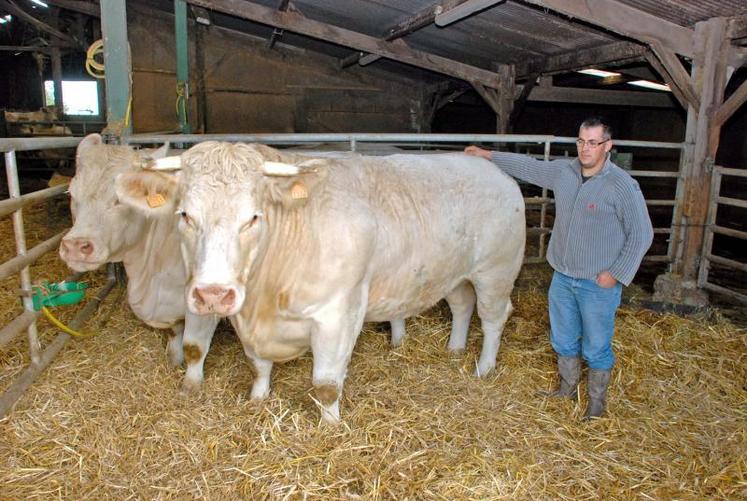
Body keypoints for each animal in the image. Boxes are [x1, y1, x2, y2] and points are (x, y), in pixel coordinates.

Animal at [59, 135, 218, 392]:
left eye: (119, 199)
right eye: (72, 194)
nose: (75, 245)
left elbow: (194, 347)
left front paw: (190, 386)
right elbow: (175, 331)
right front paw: (173, 359)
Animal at [118, 142, 524, 422]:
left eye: (254, 217)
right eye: (185, 215)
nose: (213, 294)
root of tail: (494, 171)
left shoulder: (338, 315)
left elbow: (326, 384)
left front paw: (330, 426)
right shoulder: (245, 316)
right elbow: (258, 364)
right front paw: (258, 398)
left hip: (496, 271)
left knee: (493, 317)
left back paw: (484, 367)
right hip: (454, 274)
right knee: (461, 305)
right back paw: (455, 349)